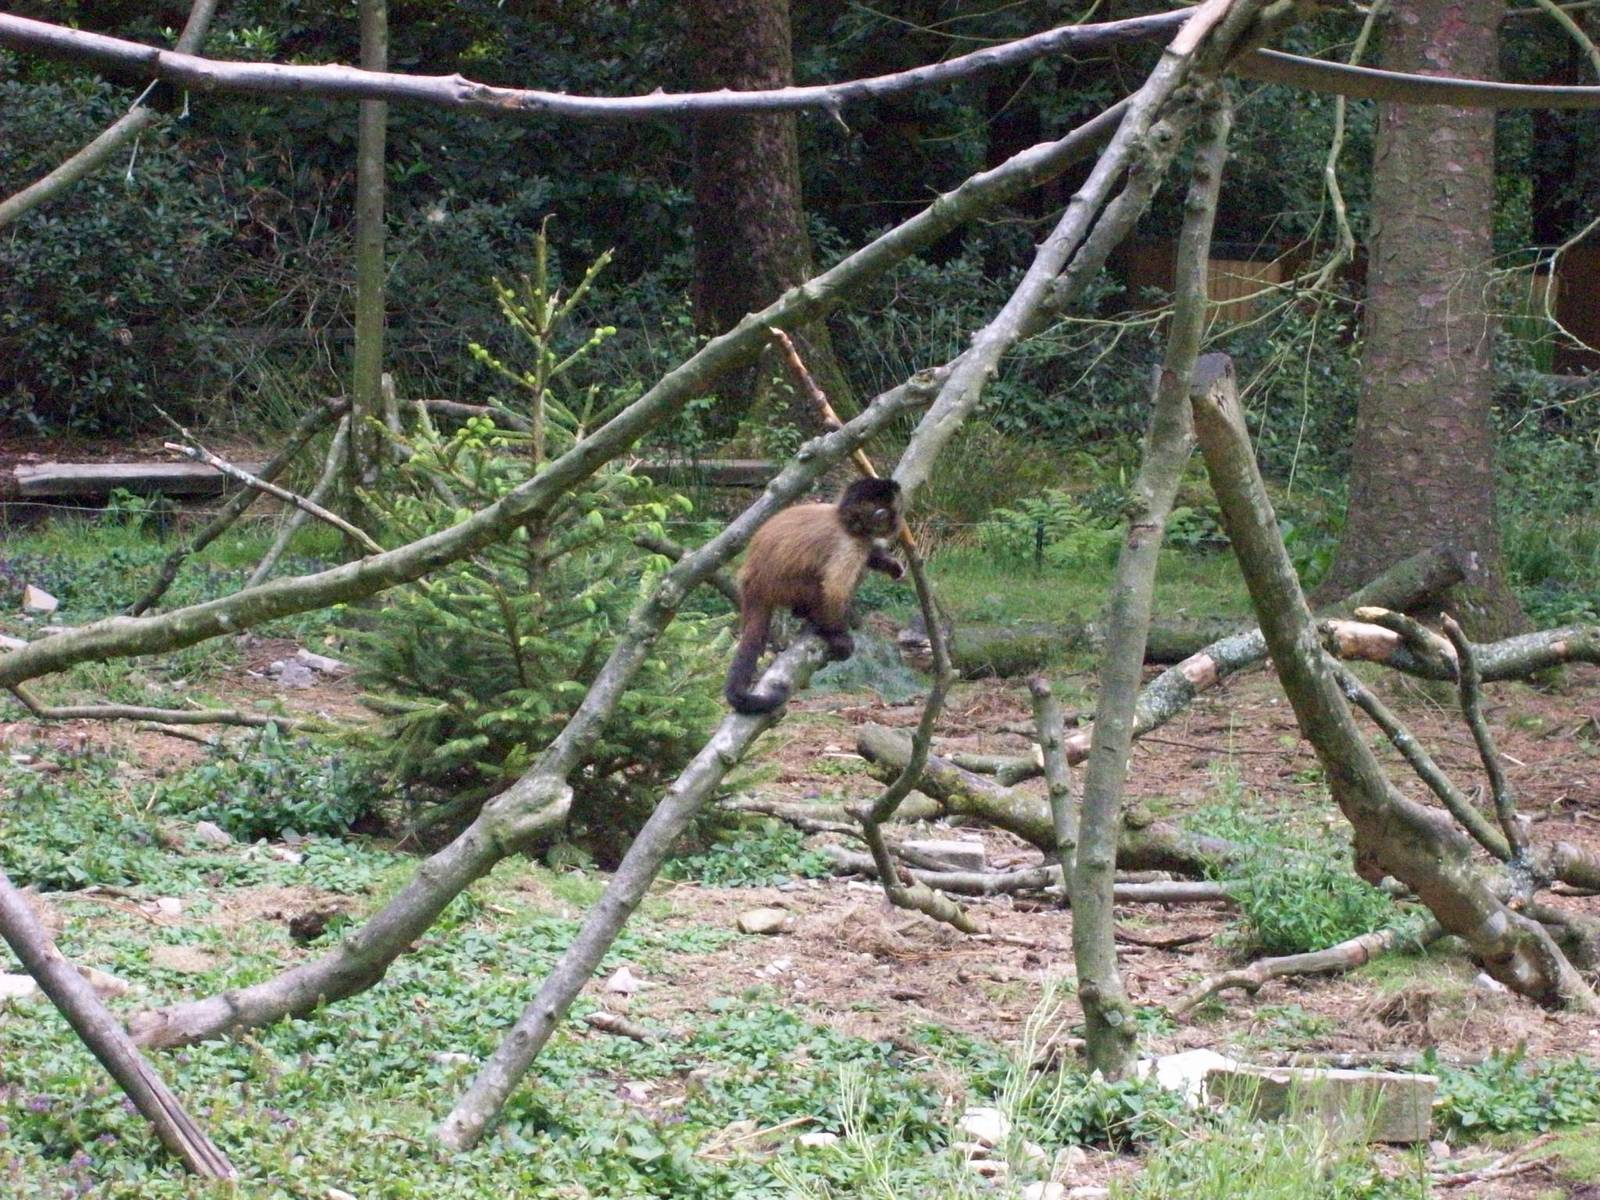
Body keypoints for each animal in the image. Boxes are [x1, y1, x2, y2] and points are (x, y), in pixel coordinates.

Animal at [724, 477, 906, 715]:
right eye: (896, 512)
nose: (898, 524)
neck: (845, 521)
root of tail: (752, 583)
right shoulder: (849, 544)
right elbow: (834, 589)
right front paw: (838, 637)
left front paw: (889, 563)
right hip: (784, 586)